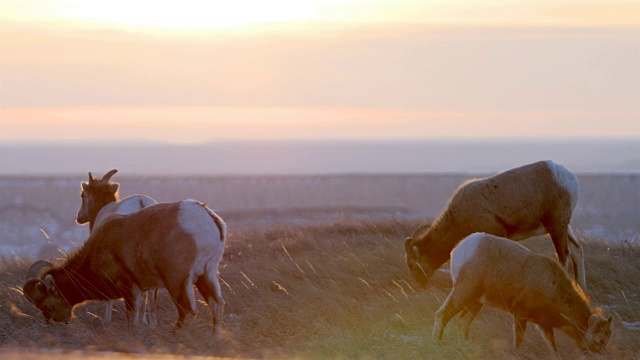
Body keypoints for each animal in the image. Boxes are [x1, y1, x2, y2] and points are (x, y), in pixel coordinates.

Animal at [23, 200, 228, 334]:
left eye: (45, 305)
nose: (56, 324)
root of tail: (210, 220)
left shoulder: (130, 289)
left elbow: (132, 319)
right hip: (207, 275)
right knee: (216, 304)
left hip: (178, 282)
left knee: (188, 310)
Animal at [404, 160, 584, 290]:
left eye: (412, 265)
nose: (420, 285)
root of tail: (569, 178)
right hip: (563, 226)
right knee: (577, 250)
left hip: (556, 226)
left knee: (564, 256)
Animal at [432, 232, 612, 352]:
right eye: (601, 340)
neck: (552, 288)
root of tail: (460, 248)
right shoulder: (520, 316)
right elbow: (517, 345)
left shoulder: (544, 326)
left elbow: (554, 350)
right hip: (464, 291)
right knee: (442, 314)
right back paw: (437, 344)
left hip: (476, 301)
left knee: (463, 321)